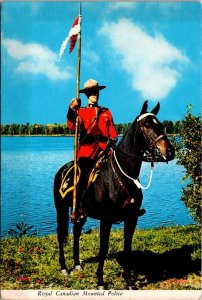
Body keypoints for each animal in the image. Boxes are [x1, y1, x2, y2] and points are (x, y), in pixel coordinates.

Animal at [53, 101, 174, 288]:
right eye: (147, 125)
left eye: (160, 125)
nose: (170, 151)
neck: (123, 175)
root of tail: (62, 170)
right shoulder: (106, 219)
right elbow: (103, 248)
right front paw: (100, 281)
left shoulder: (132, 218)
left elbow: (127, 247)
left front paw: (129, 280)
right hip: (61, 208)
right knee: (61, 234)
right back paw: (64, 267)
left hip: (81, 213)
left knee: (77, 232)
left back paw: (77, 264)